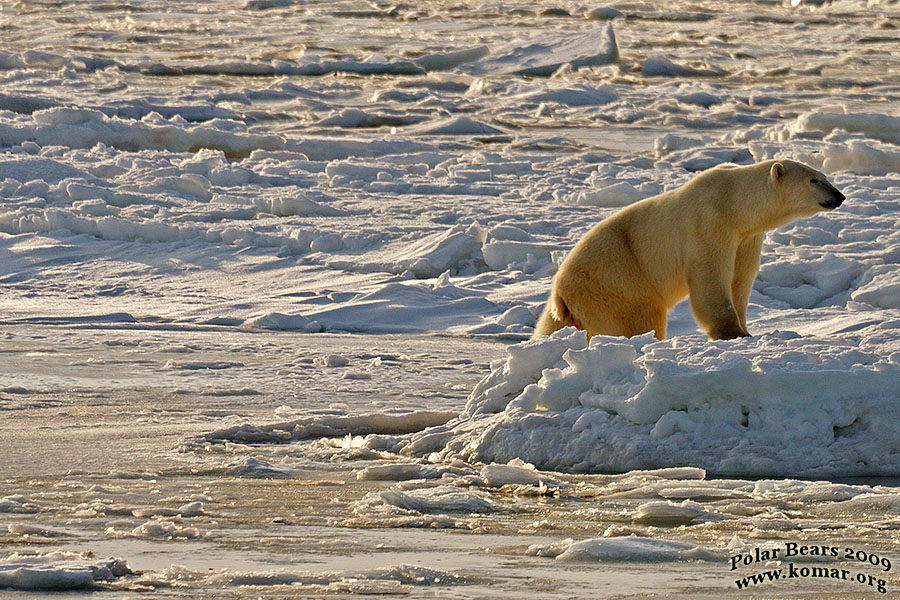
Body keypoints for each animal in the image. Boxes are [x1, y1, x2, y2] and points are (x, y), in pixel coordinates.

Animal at [536, 161, 848, 342]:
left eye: (824, 176)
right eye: (814, 180)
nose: (840, 196)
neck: (735, 201)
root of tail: (561, 292)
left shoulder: (747, 236)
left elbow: (741, 278)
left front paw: (745, 328)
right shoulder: (710, 223)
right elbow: (711, 277)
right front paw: (732, 334)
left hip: (575, 305)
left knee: (551, 327)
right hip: (618, 282)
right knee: (638, 321)